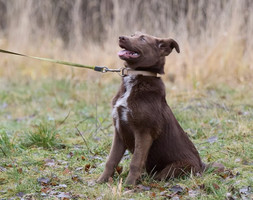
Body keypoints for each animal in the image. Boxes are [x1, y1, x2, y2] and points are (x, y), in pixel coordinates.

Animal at [97, 32, 208, 184]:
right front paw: (101, 180)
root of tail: (201, 166)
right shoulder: (119, 131)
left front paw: (129, 184)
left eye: (143, 39)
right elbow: (111, 160)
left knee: (159, 176)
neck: (137, 75)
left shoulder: (144, 132)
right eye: (132, 35)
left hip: (173, 168)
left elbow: (135, 162)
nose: (121, 37)